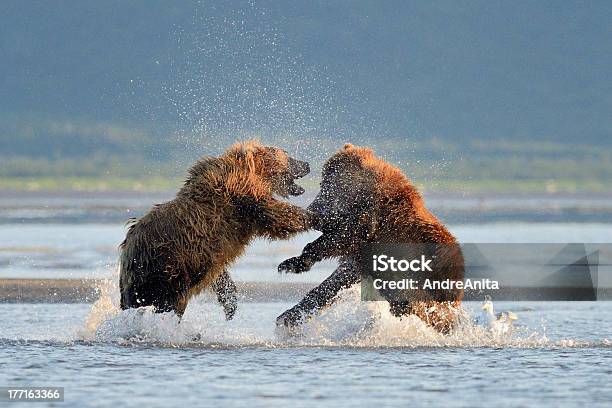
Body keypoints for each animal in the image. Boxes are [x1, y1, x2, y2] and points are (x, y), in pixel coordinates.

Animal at [119, 141, 310, 318]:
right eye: (287, 155)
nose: (306, 164)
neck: (252, 172)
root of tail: (128, 251)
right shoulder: (240, 194)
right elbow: (274, 214)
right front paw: (312, 215)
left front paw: (230, 302)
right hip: (167, 265)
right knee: (171, 301)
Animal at [278, 145, 464, 334]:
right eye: (322, 184)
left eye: (329, 185)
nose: (314, 209)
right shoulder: (362, 253)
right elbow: (338, 277)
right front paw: (288, 315)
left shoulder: (374, 219)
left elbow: (342, 237)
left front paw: (292, 263)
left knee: (423, 304)